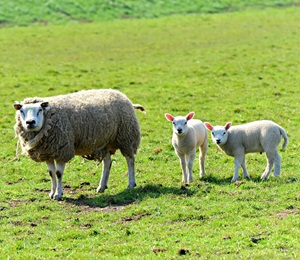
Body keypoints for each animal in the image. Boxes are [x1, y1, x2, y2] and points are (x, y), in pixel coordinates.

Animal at [13, 88, 145, 200]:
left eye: (40, 110)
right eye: (21, 111)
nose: (30, 122)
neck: (49, 118)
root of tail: (120, 94)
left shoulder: (62, 150)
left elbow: (58, 174)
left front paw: (58, 194)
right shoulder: (48, 153)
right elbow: (51, 174)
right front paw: (52, 193)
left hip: (126, 136)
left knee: (130, 160)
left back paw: (131, 184)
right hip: (104, 141)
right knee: (107, 162)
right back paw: (101, 186)